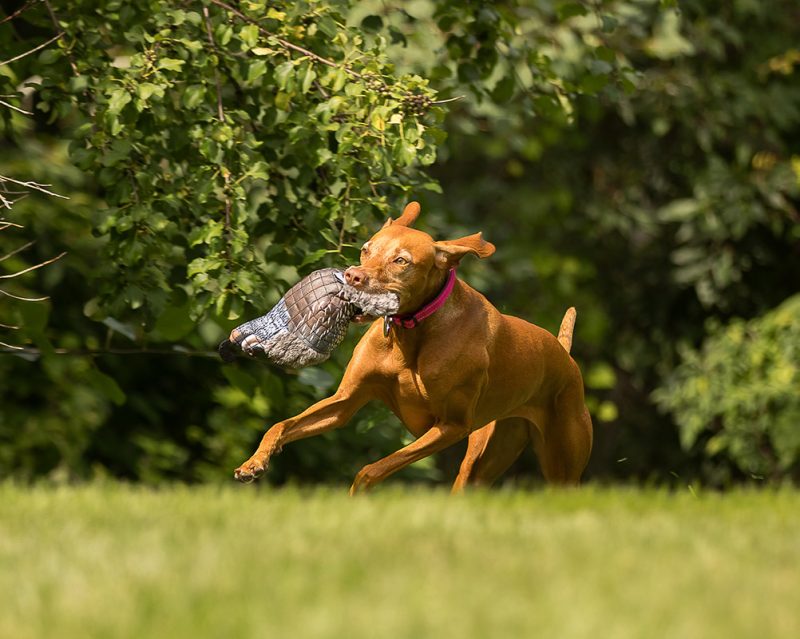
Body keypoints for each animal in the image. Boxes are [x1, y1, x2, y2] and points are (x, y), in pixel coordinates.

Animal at [234, 202, 592, 492]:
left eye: (401, 261)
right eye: (365, 250)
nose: (351, 276)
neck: (410, 334)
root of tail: (564, 354)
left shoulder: (451, 426)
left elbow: (371, 469)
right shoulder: (345, 402)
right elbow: (280, 425)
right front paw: (254, 463)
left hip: (560, 464)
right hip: (484, 456)